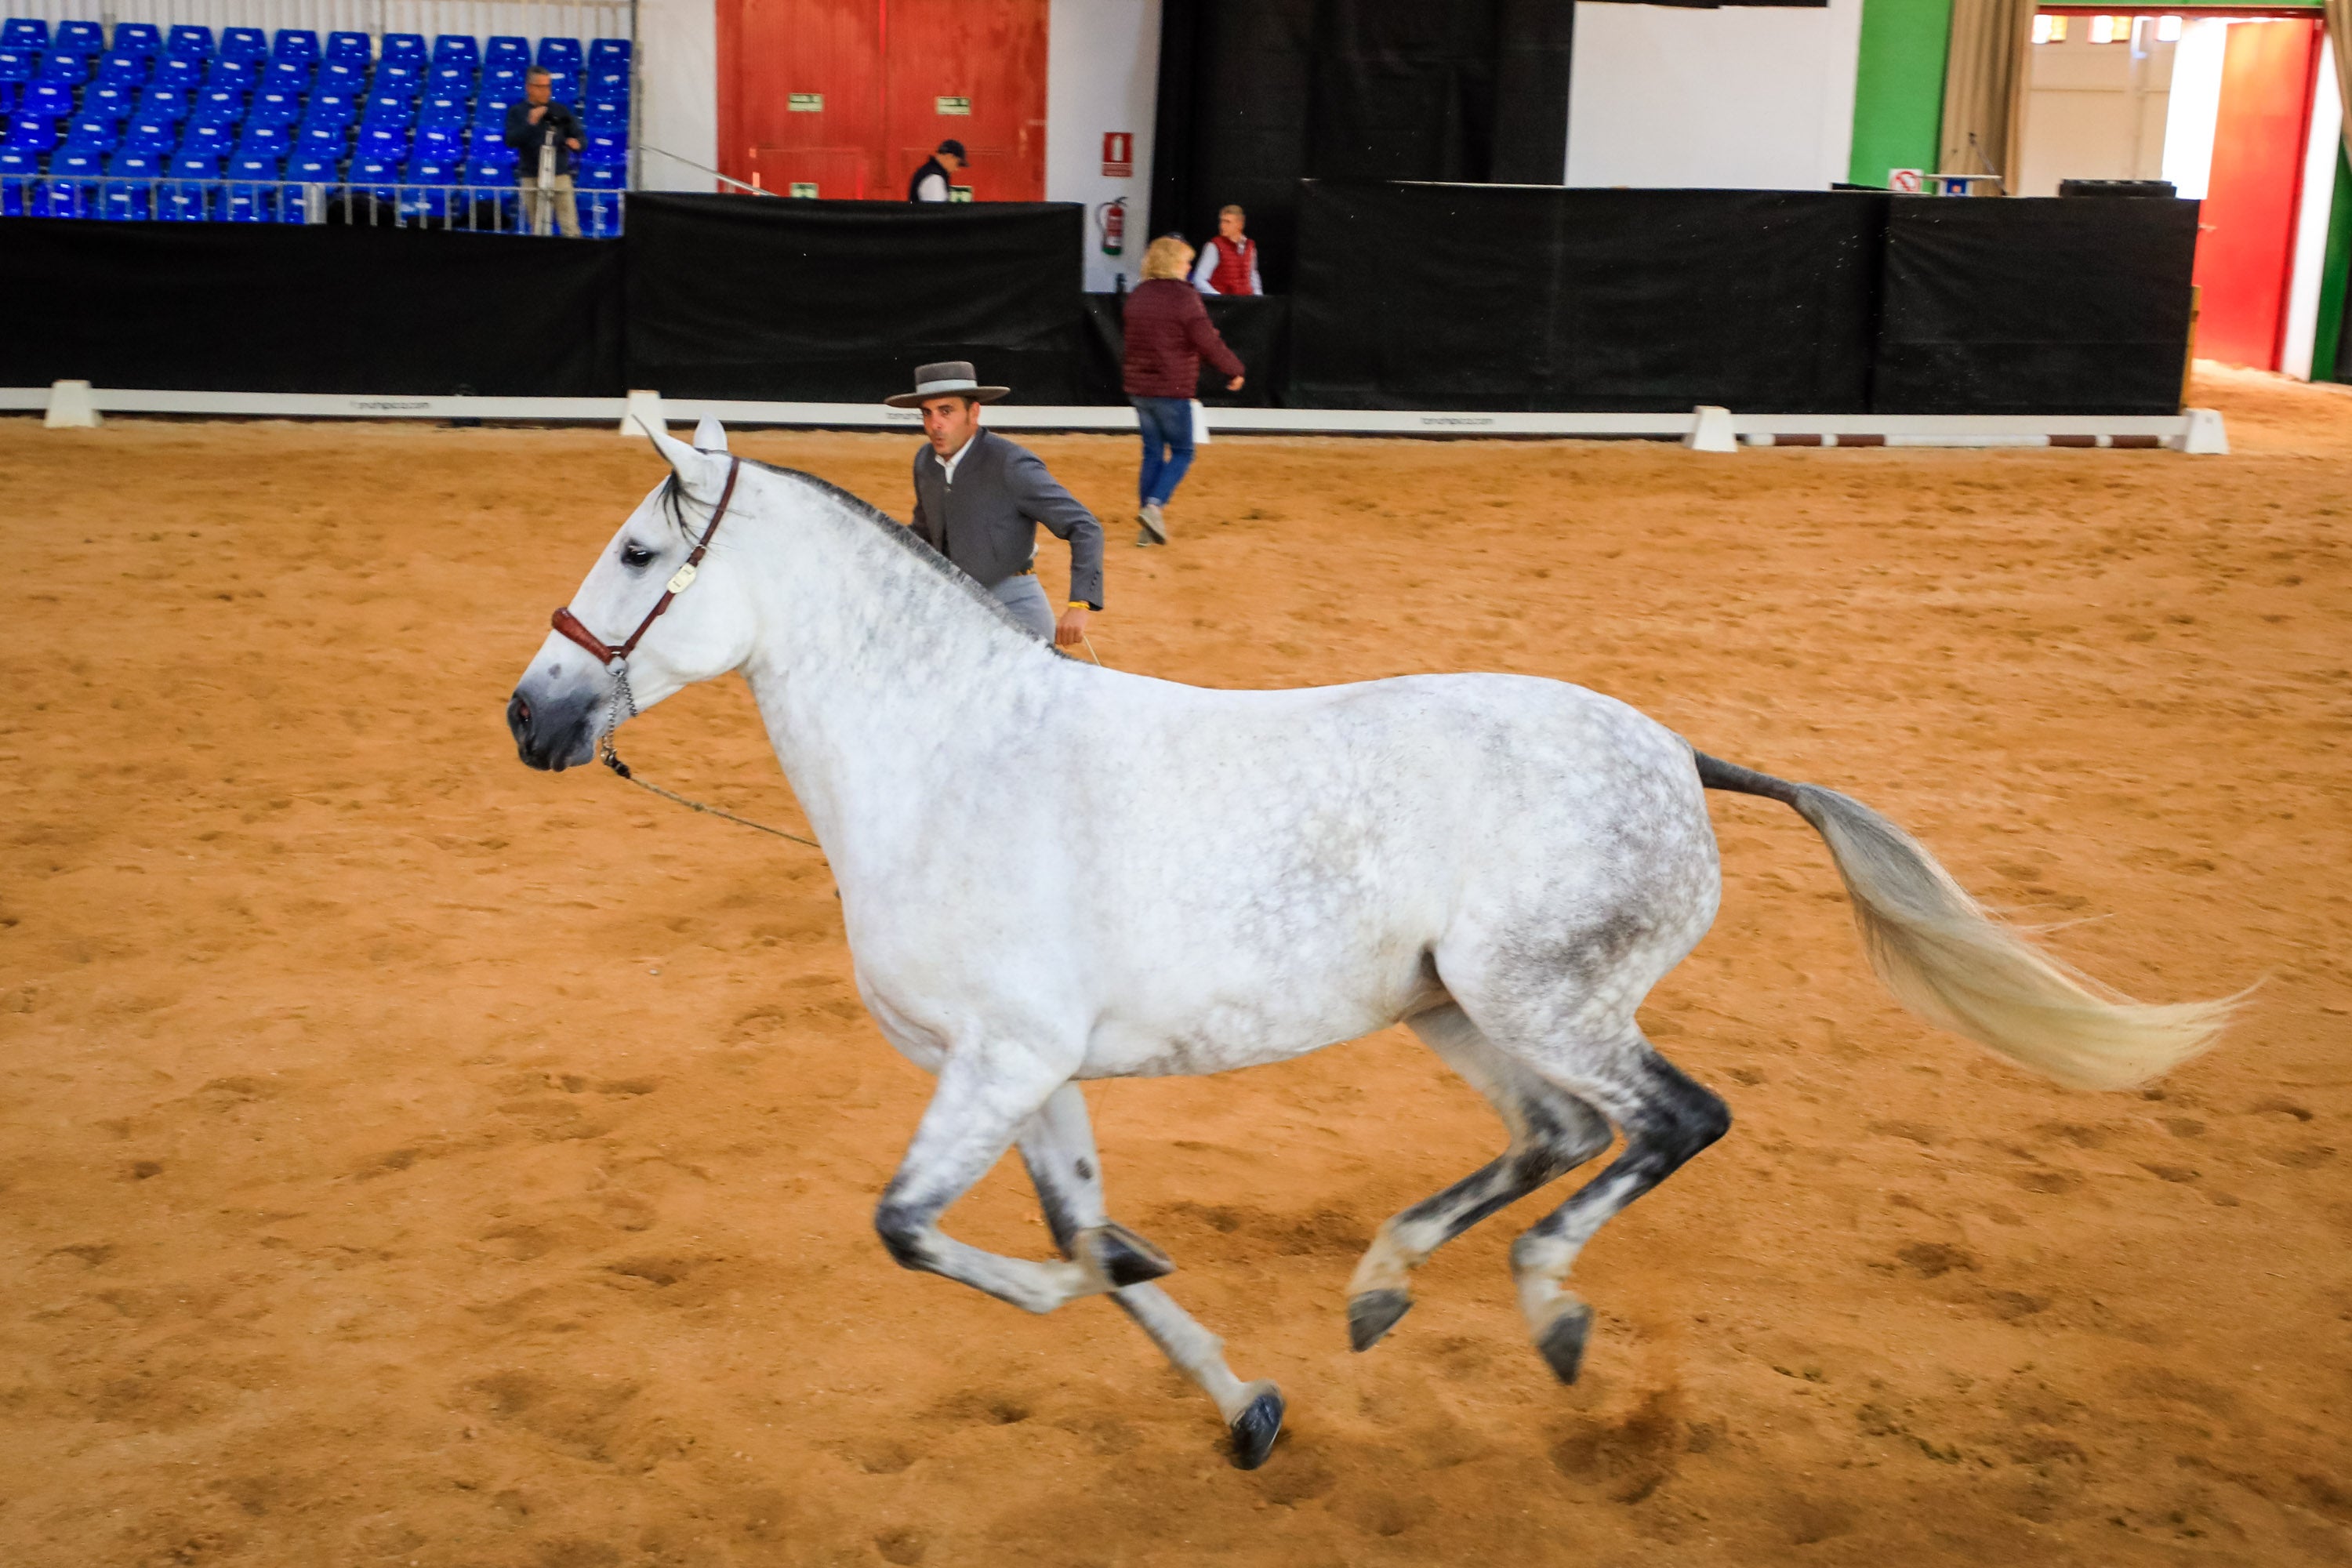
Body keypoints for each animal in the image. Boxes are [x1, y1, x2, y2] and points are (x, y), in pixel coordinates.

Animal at [506, 420, 2230, 1476]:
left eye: (643, 561)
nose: (532, 716)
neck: (953, 758)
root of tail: (1680, 754)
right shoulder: (1033, 1074)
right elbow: (1082, 1237)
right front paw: (1244, 1402)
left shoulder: (996, 1063)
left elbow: (929, 1234)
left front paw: (1106, 1293)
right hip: (1458, 1011)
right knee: (1556, 1138)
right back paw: (1385, 1290)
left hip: (1549, 997)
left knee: (1670, 1122)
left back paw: (1545, 1311)